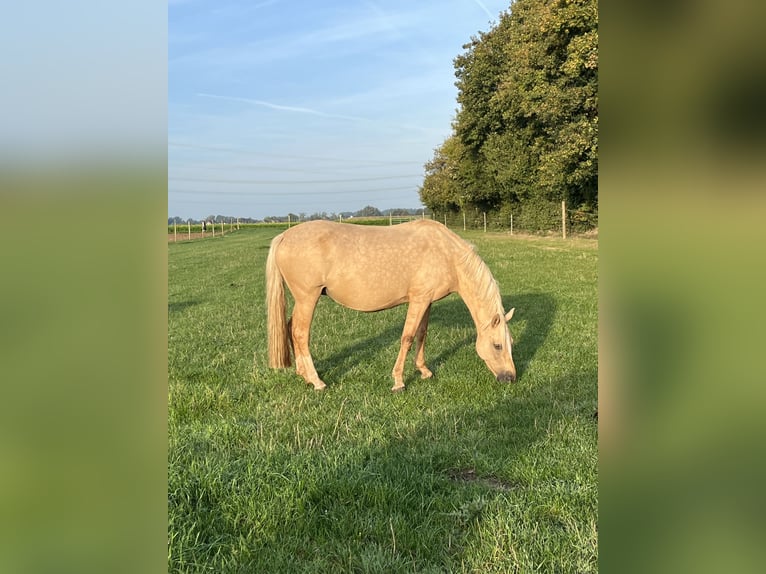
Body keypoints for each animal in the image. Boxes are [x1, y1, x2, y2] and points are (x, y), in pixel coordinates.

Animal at [268, 219, 520, 392]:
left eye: (511, 343)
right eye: (497, 345)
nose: (510, 378)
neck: (447, 255)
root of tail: (284, 236)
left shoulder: (426, 301)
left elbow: (421, 334)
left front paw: (424, 371)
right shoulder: (418, 299)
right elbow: (407, 337)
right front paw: (399, 382)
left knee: (290, 328)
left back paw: (303, 374)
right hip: (307, 298)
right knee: (300, 333)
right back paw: (317, 381)